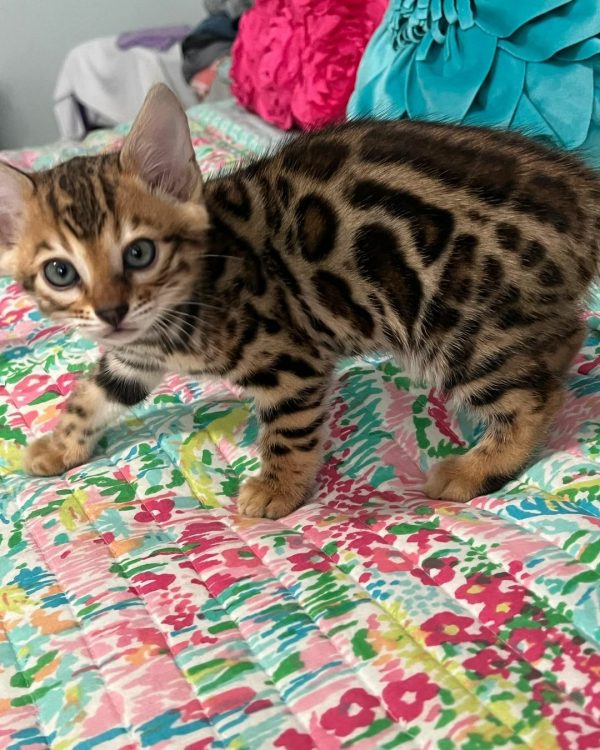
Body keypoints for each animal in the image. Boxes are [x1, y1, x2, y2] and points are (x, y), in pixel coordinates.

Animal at [1, 82, 600, 516]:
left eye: (140, 252)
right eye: (60, 272)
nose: (111, 311)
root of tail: (582, 192)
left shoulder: (288, 358)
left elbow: (288, 428)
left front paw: (277, 489)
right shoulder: (132, 355)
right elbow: (92, 394)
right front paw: (59, 444)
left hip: (452, 329)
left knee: (534, 398)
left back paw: (474, 468)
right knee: (566, 333)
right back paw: (555, 355)